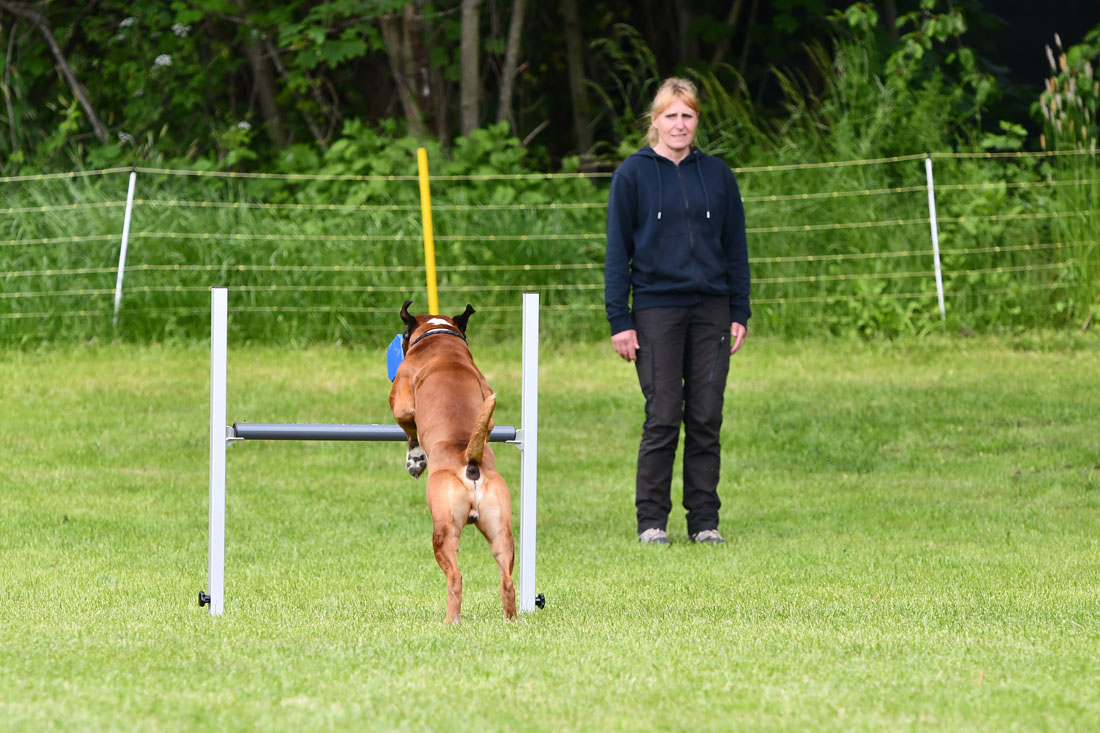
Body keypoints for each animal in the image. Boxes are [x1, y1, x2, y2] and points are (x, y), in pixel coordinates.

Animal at [389, 299, 517, 620]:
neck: (440, 342)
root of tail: (469, 460)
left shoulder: (402, 401)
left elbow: (409, 429)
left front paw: (415, 460)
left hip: (443, 530)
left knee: (455, 577)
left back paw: (451, 621)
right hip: (501, 531)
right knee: (507, 580)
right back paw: (511, 620)